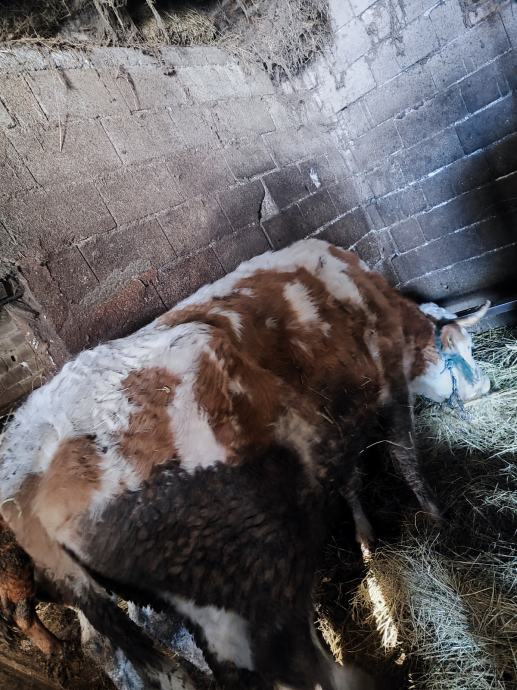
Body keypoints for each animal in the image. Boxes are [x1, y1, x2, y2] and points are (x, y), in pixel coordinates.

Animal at [0, 239, 490, 690]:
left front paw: (367, 539)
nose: (483, 387)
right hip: (248, 587)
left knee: (122, 654)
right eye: (463, 347)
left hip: (117, 604)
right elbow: (405, 457)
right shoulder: (389, 379)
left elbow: (348, 478)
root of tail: (25, 479)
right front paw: (436, 517)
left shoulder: (333, 424)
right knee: (291, 668)